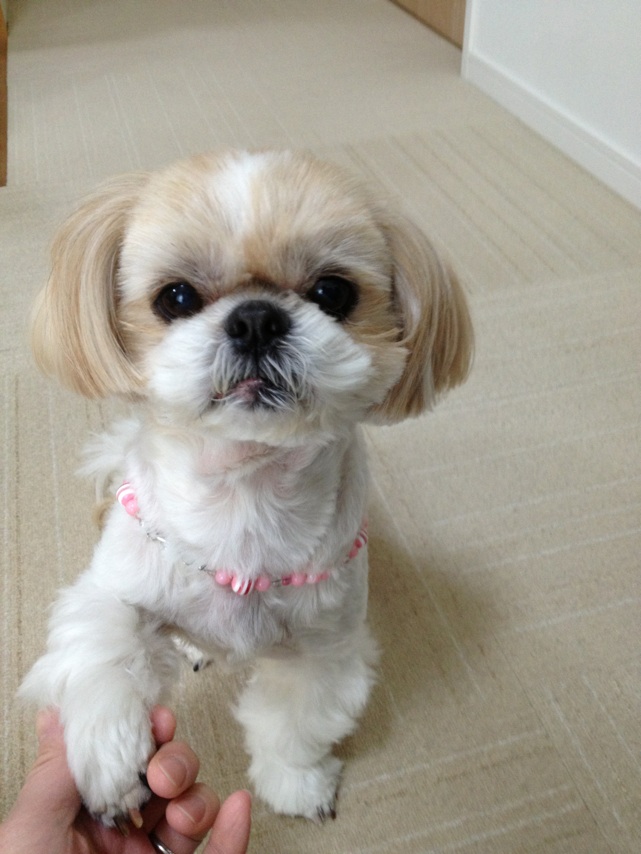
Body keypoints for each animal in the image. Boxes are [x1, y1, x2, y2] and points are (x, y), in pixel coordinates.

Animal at [20, 149, 473, 826]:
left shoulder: (325, 650)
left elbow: (293, 723)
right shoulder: (115, 586)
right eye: (176, 297)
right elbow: (105, 647)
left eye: (333, 292)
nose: (256, 317)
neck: (246, 493)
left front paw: (295, 784)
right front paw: (111, 761)